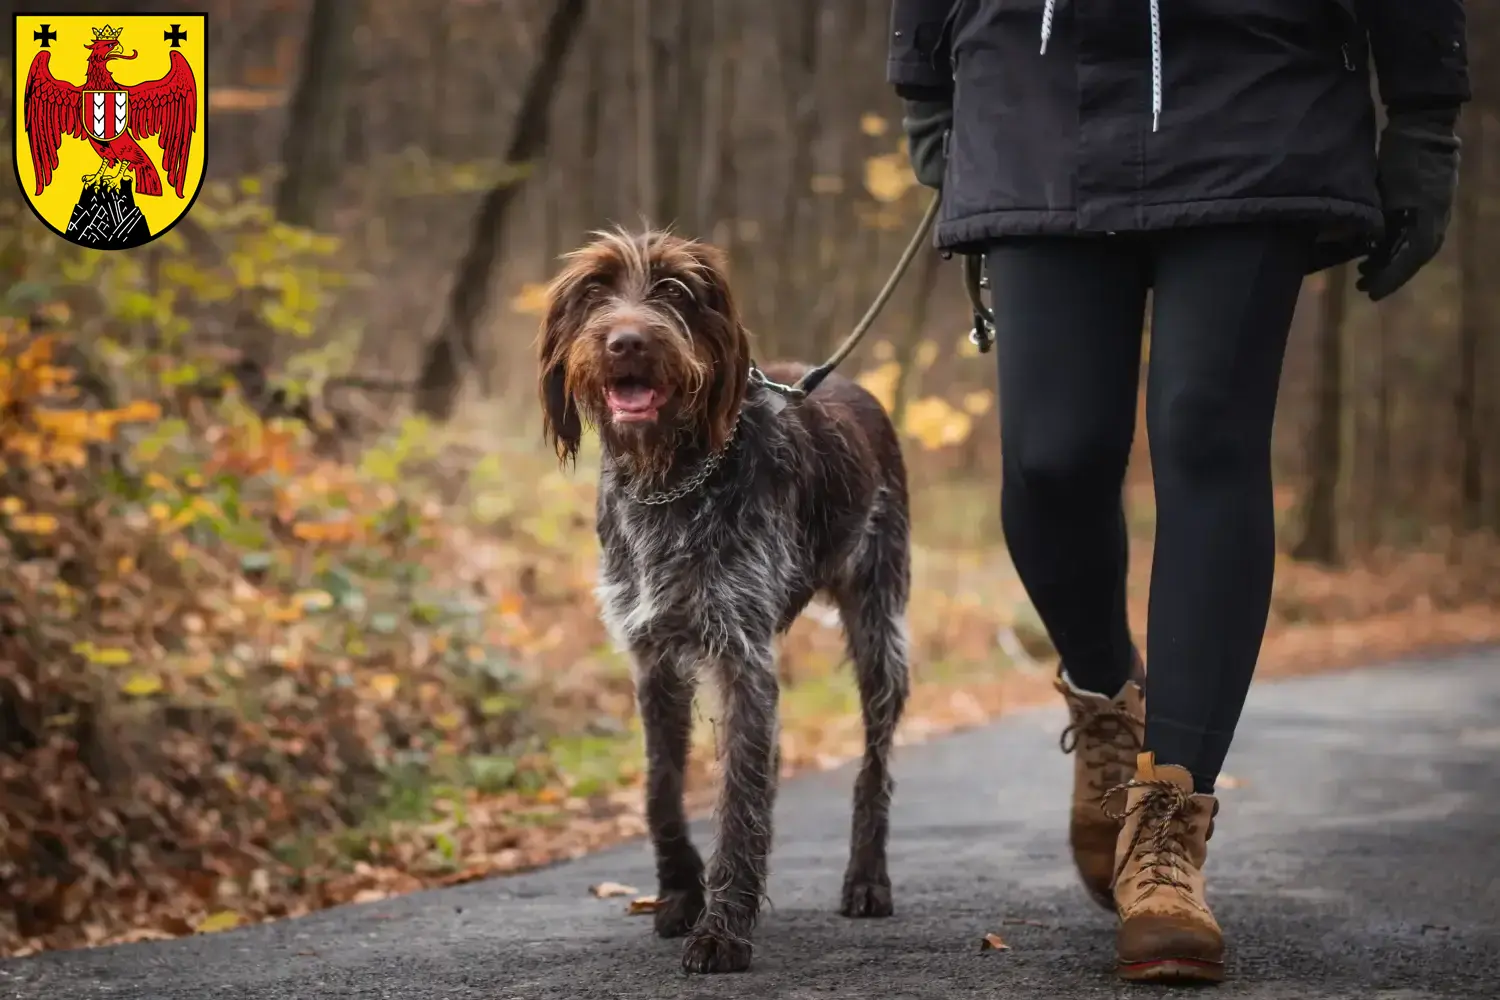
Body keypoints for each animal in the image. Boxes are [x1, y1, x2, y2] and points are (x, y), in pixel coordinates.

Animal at [540, 230, 912, 971]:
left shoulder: (740, 654)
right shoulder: (653, 655)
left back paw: (867, 878)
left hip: (880, 628)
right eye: (595, 290)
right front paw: (683, 894)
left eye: (676, 290)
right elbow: (661, 787)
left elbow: (738, 797)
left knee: (874, 765)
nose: (626, 342)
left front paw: (723, 929)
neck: (669, 481)